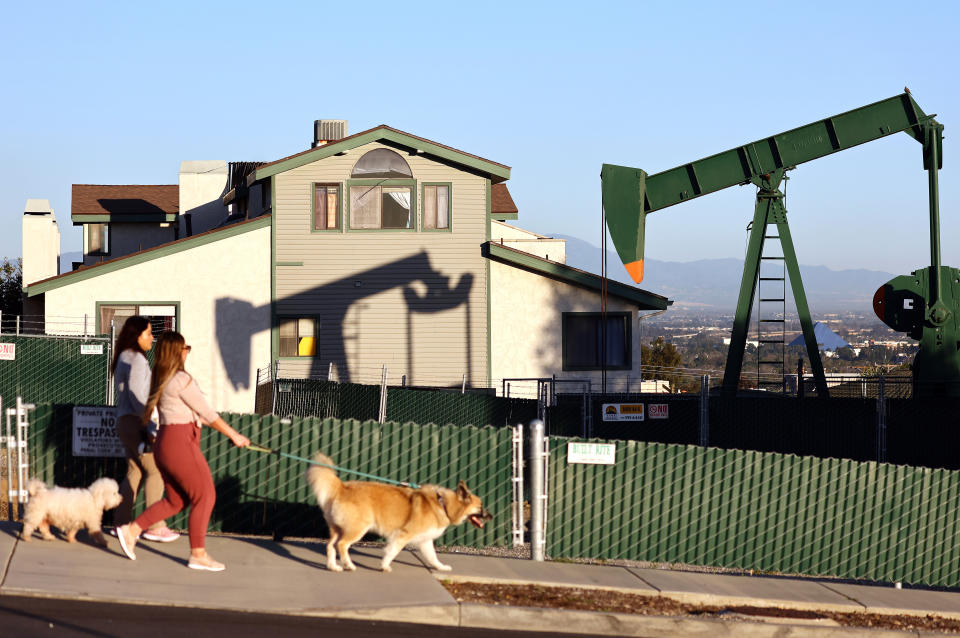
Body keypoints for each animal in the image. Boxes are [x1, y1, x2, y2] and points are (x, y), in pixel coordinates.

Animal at [306, 456, 492, 576]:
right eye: (480, 507)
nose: (491, 516)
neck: (443, 504)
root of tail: (342, 487)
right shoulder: (403, 535)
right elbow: (392, 552)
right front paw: (384, 566)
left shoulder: (425, 541)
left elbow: (433, 558)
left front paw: (441, 568)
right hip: (357, 529)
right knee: (342, 545)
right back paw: (349, 565)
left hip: (338, 529)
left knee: (330, 546)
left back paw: (333, 567)